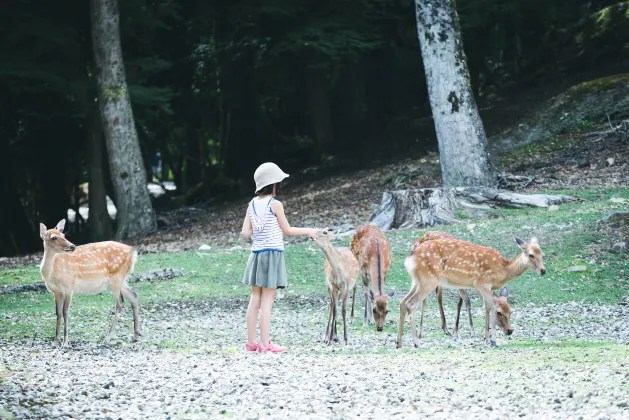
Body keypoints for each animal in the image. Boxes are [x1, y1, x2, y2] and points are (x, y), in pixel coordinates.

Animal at [38, 220, 140, 348]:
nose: (72, 246)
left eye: (63, 235)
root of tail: (133, 252)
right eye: (53, 237)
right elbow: (58, 313)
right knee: (134, 296)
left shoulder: (69, 286)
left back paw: (108, 338)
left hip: (117, 276)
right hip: (121, 279)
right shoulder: (56, 292)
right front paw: (56, 341)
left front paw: (65, 342)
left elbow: (65, 312)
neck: (51, 274)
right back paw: (136, 335)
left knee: (120, 303)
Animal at [394, 236, 544, 348]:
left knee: (403, 302)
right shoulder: (482, 283)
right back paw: (417, 342)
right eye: (531, 255)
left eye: (542, 255)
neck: (503, 270)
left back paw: (399, 343)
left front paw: (486, 338)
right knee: (411, 304)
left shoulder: (484, 288)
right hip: (428, 280)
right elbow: (491, 307)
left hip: (417, 281)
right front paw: (493, 340)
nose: (543, 270)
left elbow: (486, 308)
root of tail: (409, 258)